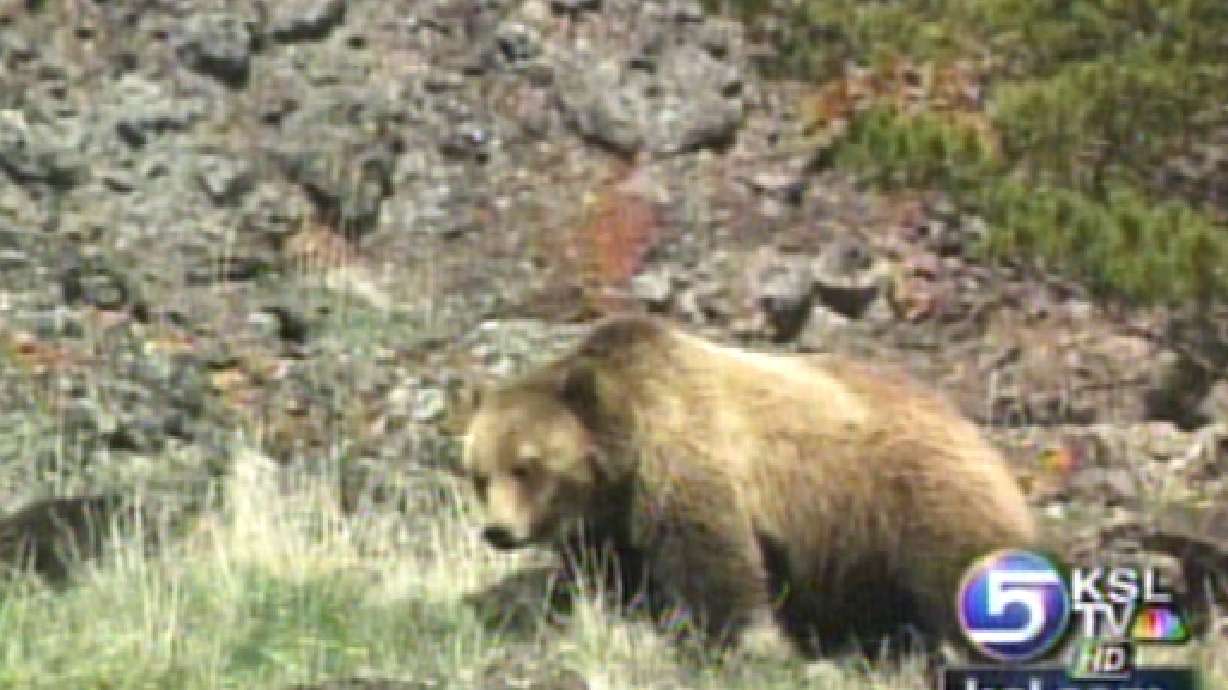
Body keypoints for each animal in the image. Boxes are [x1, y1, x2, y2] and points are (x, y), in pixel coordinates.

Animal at [458, 313, 1037, 659]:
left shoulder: (688, 461)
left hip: (914, 497)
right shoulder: (611, 516)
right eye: (479, 474)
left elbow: (715, 559)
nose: (498, 532)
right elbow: (610, 570)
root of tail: (970, 426)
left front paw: (744, 640)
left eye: (527, 466)